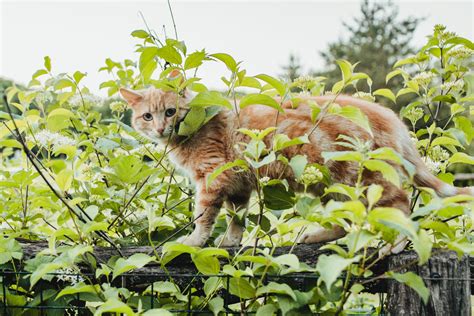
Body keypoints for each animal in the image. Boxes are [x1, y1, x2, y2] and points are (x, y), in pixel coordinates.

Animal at [119, 87, 474, 249]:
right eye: (147, 116)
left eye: (170, 111)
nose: (161, 128)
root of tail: (392, 118)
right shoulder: (239, 185)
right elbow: (237, 217)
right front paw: (231, 242)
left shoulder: (213, 177)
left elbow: (204, 216)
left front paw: (194, 241)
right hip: (333, 189)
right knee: (346, 223)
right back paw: (316, 235)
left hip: (363, 182)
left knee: (401, 208)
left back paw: (393, 244)